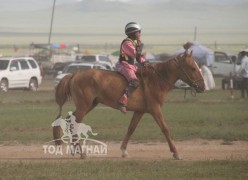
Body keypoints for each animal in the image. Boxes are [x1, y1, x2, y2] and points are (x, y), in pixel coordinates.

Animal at [54, 50, 205, 160]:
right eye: (193, 68)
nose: (202, 87)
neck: (156, 80)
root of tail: (74, 74)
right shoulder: (155, 109)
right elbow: (165, 129)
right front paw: (176, 153)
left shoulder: (139, 111)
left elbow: (131, 129)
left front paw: (123, 151)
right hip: (83, 106)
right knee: (74, 124)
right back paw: (81, 152)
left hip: (90, 105)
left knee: (70, 120)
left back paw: (74, 149)